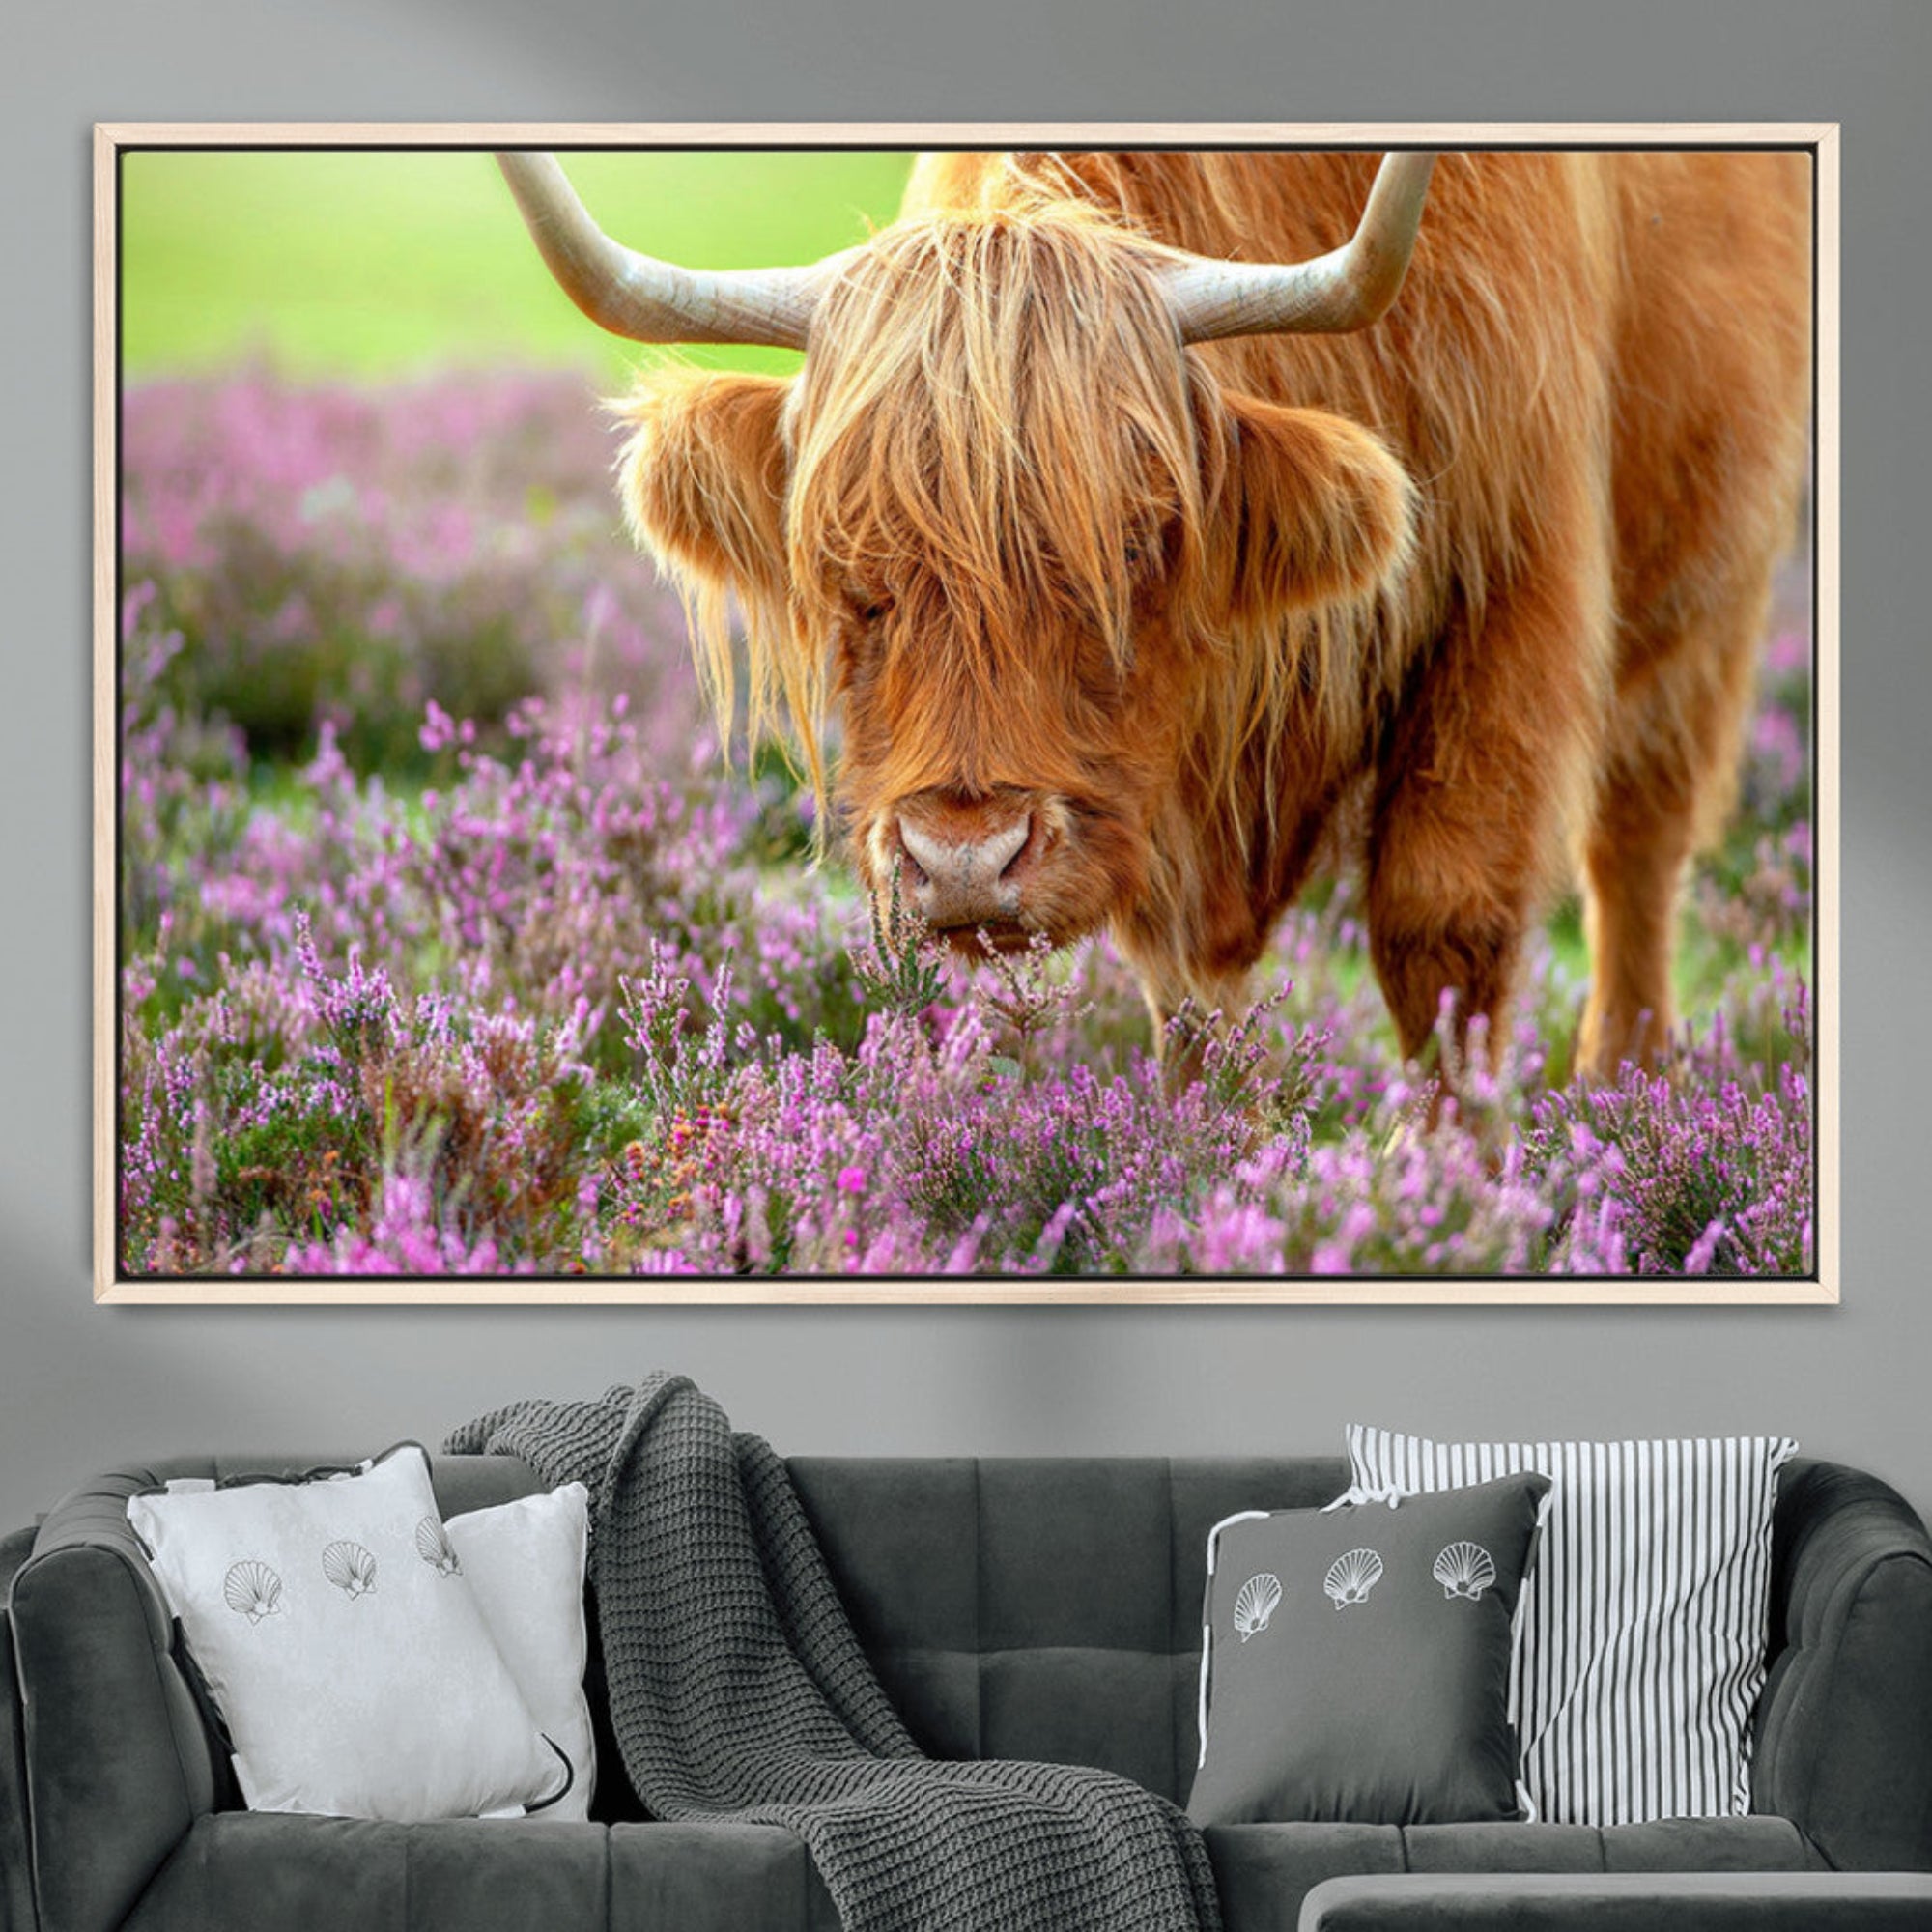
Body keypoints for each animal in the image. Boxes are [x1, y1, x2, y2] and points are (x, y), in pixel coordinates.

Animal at [498, 146, 1811, 1085]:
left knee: (1635, 849)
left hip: (1712, 581)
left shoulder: (1512, 583)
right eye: (845, 567)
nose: (963, 861)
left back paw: (1621, 1090)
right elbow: (1184, 991)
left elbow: (1445, 925)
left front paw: (1447, 1201)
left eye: (1132, 543)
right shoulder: (1161, 783)